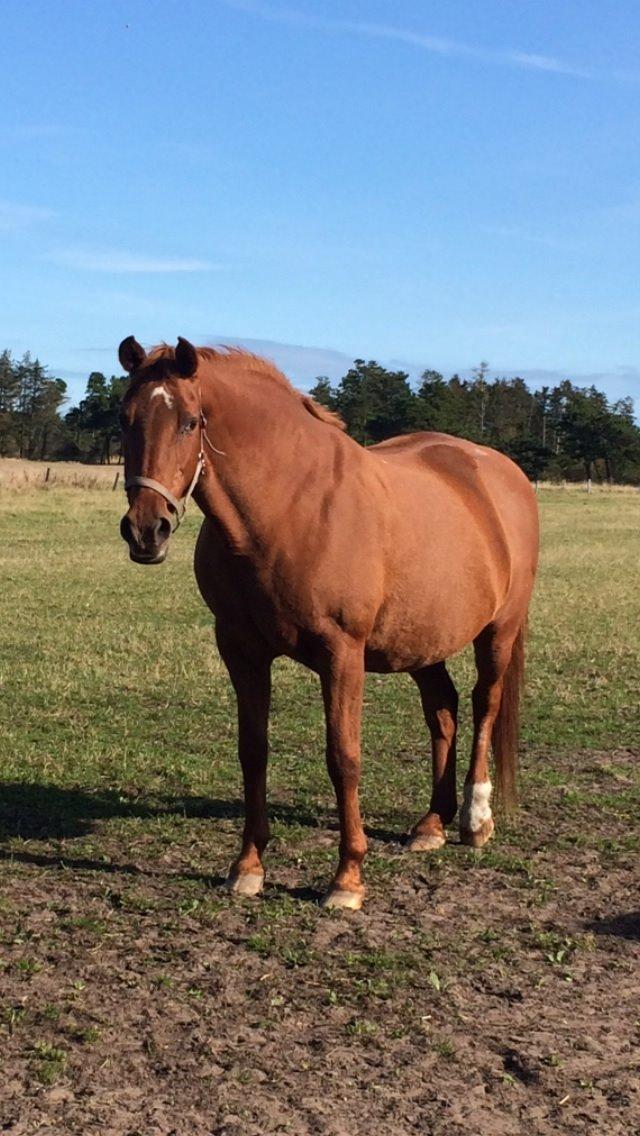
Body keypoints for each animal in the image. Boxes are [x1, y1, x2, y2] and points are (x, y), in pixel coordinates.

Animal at [117, 331, 538, 908]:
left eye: (190, 421)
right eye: (124, 418)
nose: (146, 530)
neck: (289, 507)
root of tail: (500, 473)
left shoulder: (342, 654)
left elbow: (344, 757)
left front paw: (347, 877)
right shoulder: (240, 649)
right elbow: (253, 751)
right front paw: (247, 867)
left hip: (498, 632)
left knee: (484, 706)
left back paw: (475, 821)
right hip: (420, 641)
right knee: (444, 710)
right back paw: (431, 823)